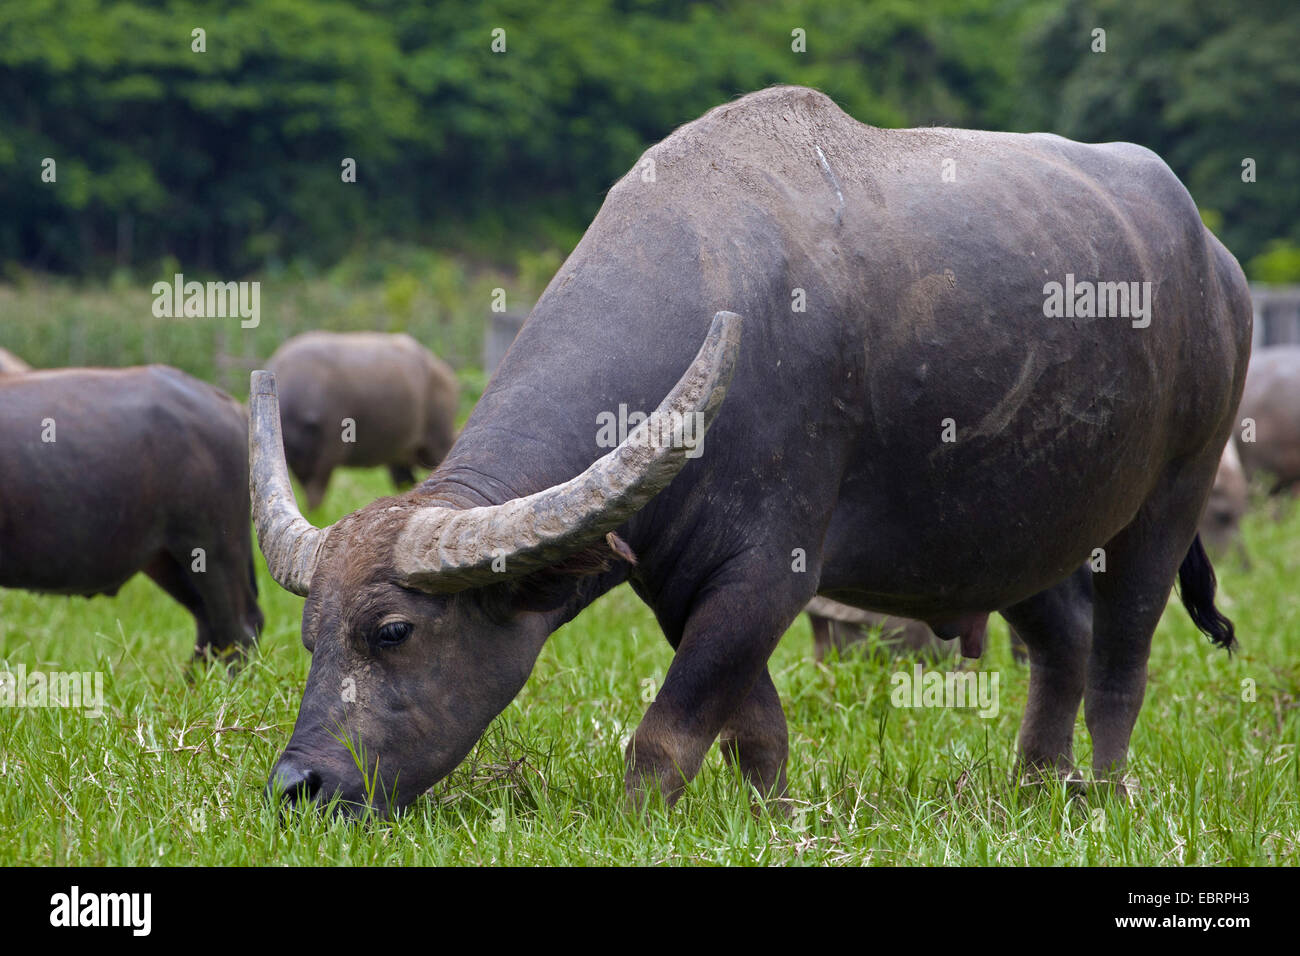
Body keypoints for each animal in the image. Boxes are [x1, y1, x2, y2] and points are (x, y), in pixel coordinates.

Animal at [266, 331, 459, 509]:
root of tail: (442, 371)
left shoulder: (328, 456)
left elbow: (315, 495)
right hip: (399, 454)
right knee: (404, 481)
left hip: (436, 441)